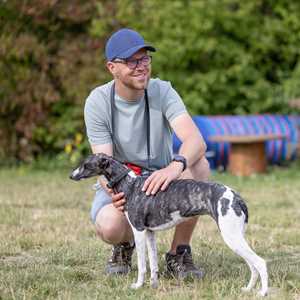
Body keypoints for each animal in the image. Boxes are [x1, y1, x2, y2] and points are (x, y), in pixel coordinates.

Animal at [71, 152, 270, 296]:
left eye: (85, 164)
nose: (70, 175)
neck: (131, 184)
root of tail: (236, 197)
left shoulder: (139, 231)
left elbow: (142, 265)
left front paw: (138, 285)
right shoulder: (150, 233)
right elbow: (153, 264)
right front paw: (153, 285)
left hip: (231, 237)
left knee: (260, 263)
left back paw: (262, 292)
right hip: (236, 238)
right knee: (252, 265)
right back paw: (248, 289)